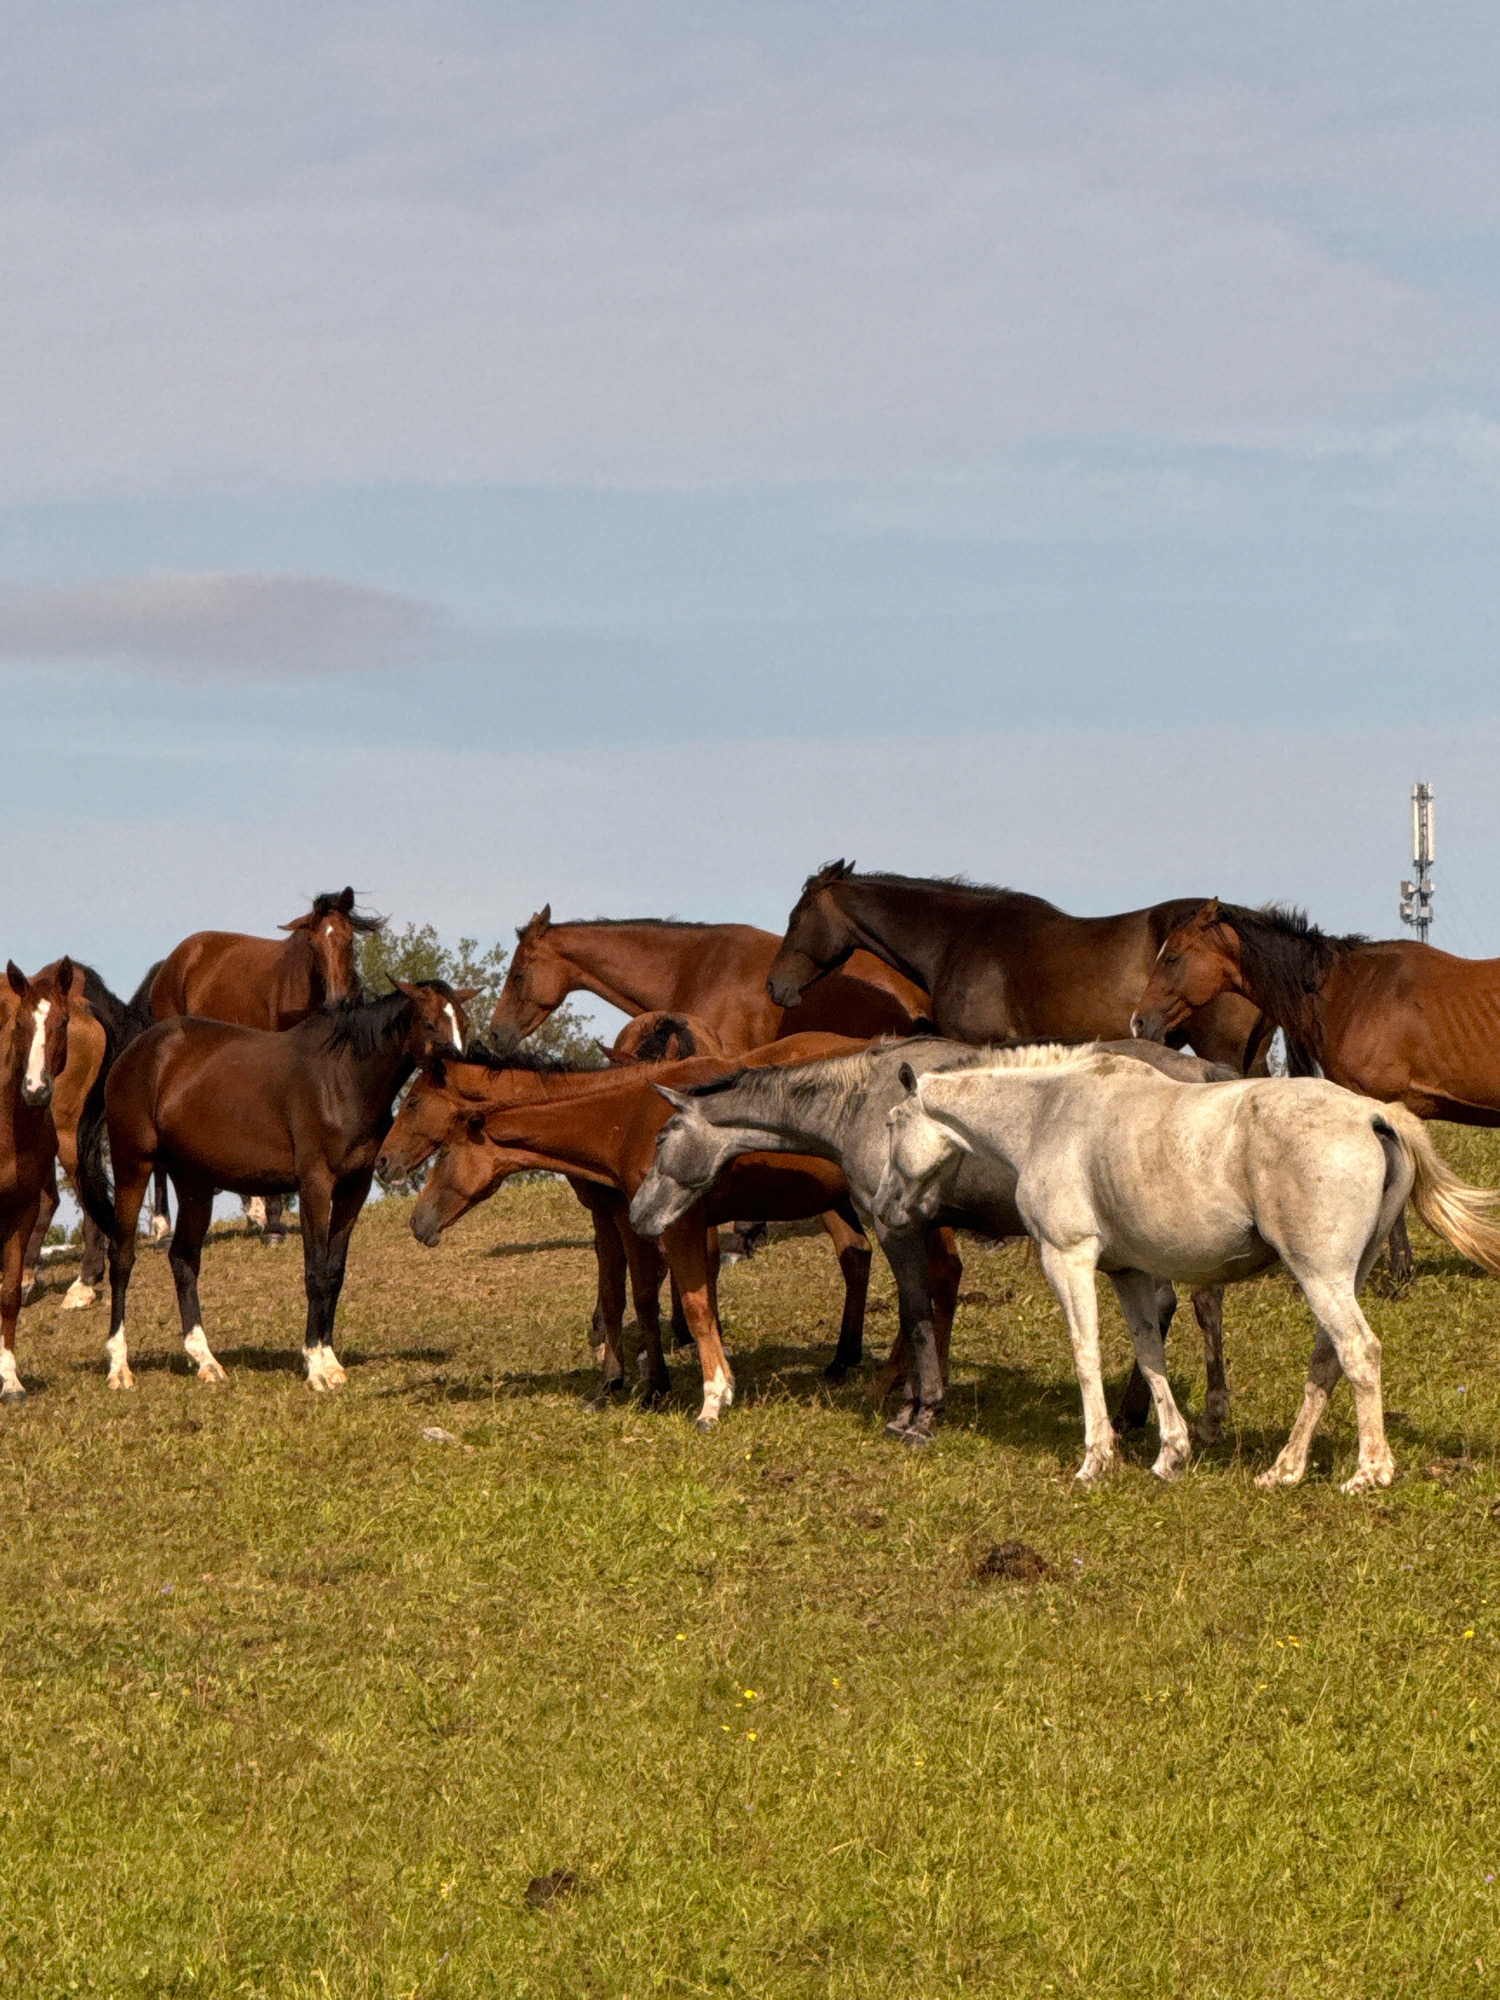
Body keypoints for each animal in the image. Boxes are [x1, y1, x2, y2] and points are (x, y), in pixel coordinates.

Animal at [76, 982, 471, 1392]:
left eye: (464, 1023)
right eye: (430, 1022)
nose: (460, 1072)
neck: (344, 1078)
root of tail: (134, 1052)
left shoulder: (353, 1189)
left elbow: (334, 1271)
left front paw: (331, 1362)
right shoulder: (315, 1186)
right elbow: (315, 1272)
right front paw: (315, 1367)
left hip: (194, 1184)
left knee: (183, 1260)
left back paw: (205, 1360)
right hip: (132, 1167)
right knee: (122, 1259)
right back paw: (119, 1367)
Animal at [136, 887, 388, 1243]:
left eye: (348, 939)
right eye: (314, 945)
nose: (338, 1002)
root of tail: (170, 964)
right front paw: (274, 1223)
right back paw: (163, 1227)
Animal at [374, 1033, 872, 1426]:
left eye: (413, 1103)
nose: (382, 1163)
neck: (624, 1116)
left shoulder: (663, 1222)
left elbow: (665, 1298)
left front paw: (672, 1389)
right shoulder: (612, 1219)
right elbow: (620, 1296)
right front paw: (616, 1383)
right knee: (857, 1255)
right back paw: (844, 1361)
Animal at [629, 1037, 1237, 1447]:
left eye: (660, 1138)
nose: (638, 1214)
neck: (861, 1103)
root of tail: (1200, 1067)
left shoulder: (897, 1227)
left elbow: (917, 1314)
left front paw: (920, 1415)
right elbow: (918, 1314)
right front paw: (912, 1406)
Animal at [872, 1047, 1500, 1492]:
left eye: (891, 1123)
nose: (883, 1207)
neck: (1050, 1113)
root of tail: (1374, 1114)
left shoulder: (1067, 1258)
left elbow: (1085, 1351)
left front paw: (1097, 1458)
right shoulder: (1127, 1272)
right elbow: (1149, 1352)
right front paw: (1171, 1455)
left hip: (1321, 1277)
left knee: (1359, 1352)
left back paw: (1369, 1472)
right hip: (1344, 1277)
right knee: (1327, 1360)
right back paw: (1284, 1470)